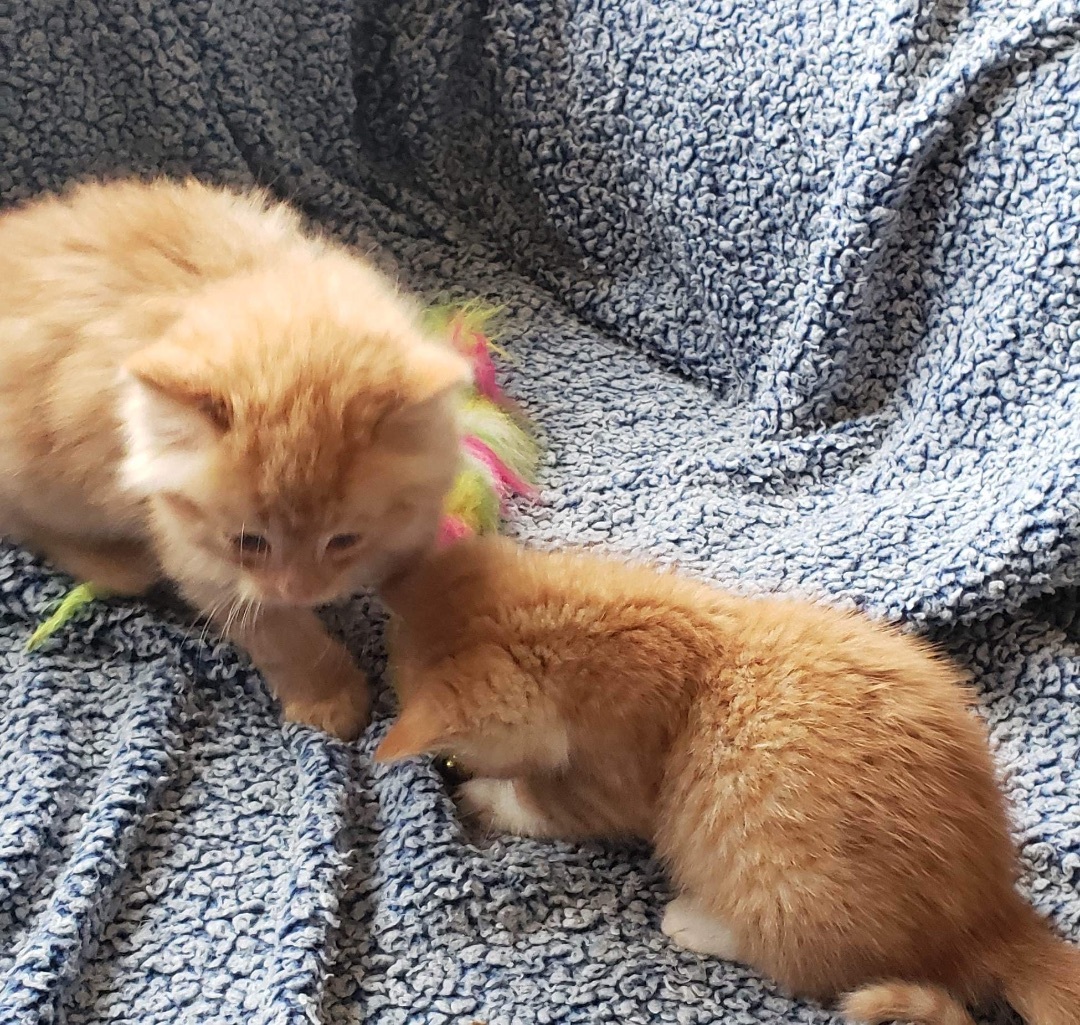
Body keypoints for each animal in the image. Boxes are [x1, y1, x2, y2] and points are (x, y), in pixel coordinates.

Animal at [0, 176, 473, 734]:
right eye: (249, 542)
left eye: (343, 540)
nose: (299, 591)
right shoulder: (198, 557)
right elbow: (281, 635)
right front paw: (329, 696)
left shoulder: (420, 505)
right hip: (39, 478)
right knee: (24, 522)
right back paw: (118, 563)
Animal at [378, 535, 1080, 1023]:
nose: (444, 768)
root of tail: (992, 913)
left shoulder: (612, 784)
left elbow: (543, 804)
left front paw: (478, 792)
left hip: (788, 886)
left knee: (808, 963)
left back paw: (694, 922)